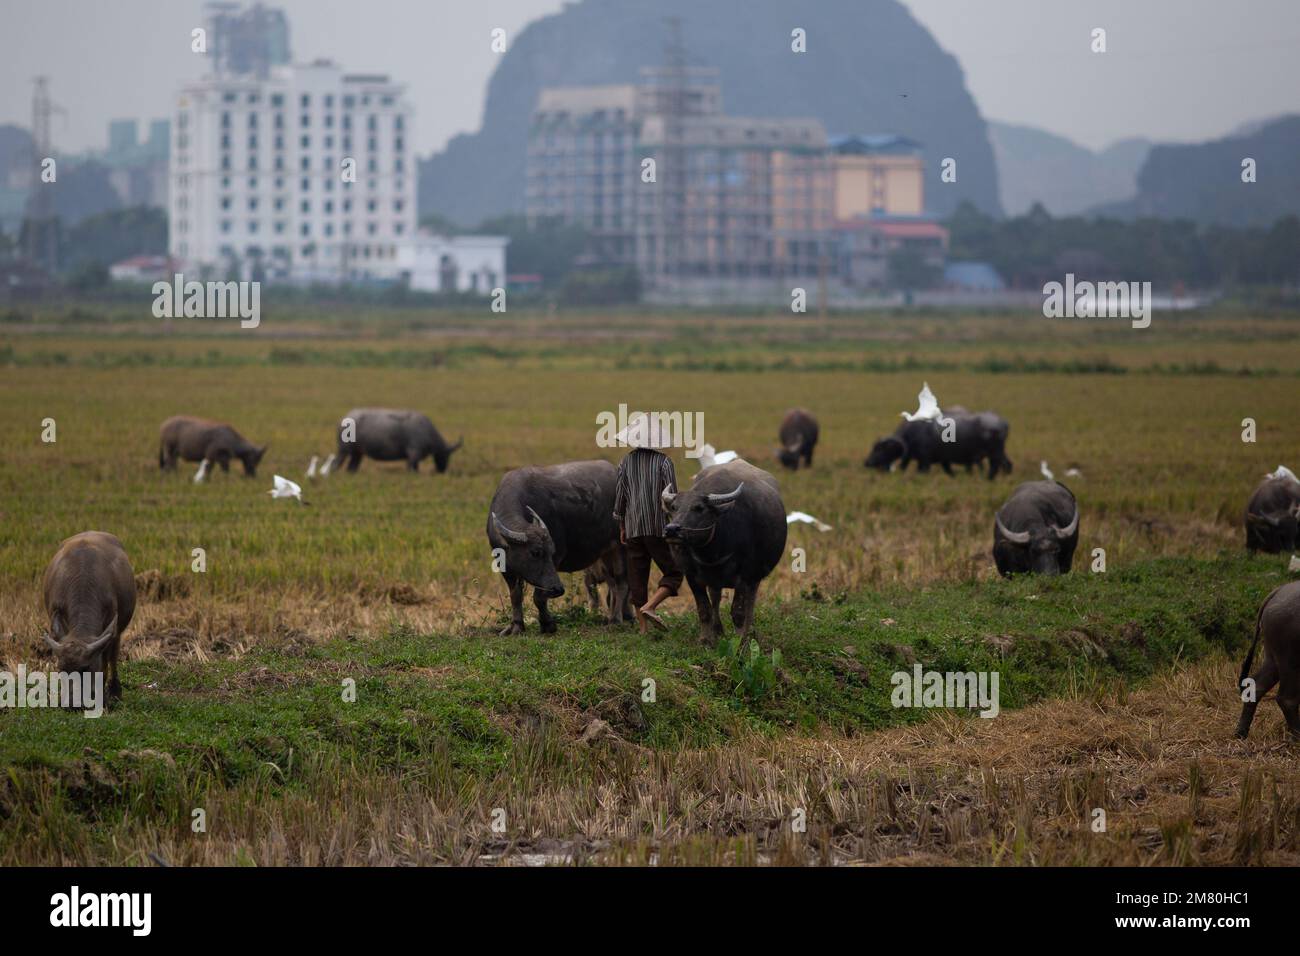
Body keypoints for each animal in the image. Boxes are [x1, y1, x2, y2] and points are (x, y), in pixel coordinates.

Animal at [41, 530, 135, 702]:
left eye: (86, 668)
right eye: (61, 668)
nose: (72, 703)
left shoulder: (110, 630)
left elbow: (106, 663)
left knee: (112, 657)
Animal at [488, 463, 626, 634]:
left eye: (551, 552)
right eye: (535, 552)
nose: (558, 589)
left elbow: (539, 597)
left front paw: (548, 624)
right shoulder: (505, 568)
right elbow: (516, 596)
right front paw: (516, 626)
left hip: (620, 545)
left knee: (621, 583)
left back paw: (616, 620)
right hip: (605, 553)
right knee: (612, 584)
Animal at [660, 457, 780, 642]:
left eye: (699, 508)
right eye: (674, 507)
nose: (672, 529)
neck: (711, 551)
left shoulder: (745, 575)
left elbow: (738, 612)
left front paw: (740, 642)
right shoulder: (691, 575)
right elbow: (704, 609)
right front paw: (705, 640)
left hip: (756, 576)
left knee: (750, 603)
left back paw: (749, 631)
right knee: (715, 598)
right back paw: (718, 631)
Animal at [863, 408, 1013, 478]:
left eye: (879, 449)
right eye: (874, 448)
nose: (867, 462)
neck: (911, 433)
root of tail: (1003, 422)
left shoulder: (925, 460)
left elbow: (923, 472)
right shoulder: (942, 460)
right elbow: (949, 472)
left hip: (994, 452)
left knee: (995, 467)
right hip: (1000, 451)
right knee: (1007, 464)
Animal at [1227, 574, 1300, 738]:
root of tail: (1278, 591)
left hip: (1272, 657)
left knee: (1256, 686)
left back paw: (1241, 733)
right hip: (1289, 660)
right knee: (1287, 699)